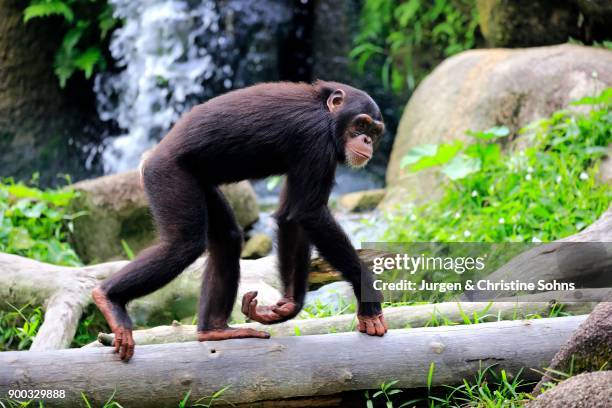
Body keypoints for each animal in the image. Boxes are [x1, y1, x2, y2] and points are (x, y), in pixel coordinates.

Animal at [92, 79, 388, 360]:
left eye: (374, 132)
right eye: (360, 124)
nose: (367, 141)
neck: (328, 119)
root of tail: (148, 158)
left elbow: (292, 216)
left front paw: (288, 307)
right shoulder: (315, 140)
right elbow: (310, 213)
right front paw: (368, 296)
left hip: (199, 183)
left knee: (228, 238)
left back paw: (214, 330)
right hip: (167, 175)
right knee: (182, 245)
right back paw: (109, 299)